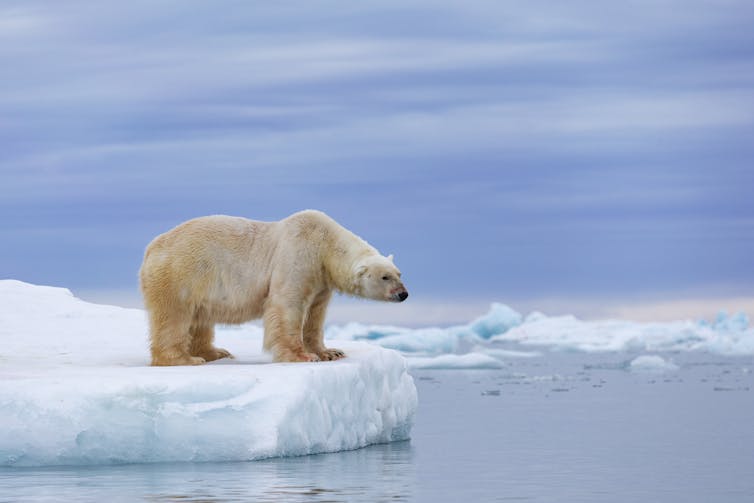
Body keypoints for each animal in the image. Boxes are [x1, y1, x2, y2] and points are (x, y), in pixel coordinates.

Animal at [139, 210, 408, 366]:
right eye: (385, 277)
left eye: (399, 274)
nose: (403, 294)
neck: (325, 243)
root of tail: (151, 247)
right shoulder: (298, 255)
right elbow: (288, 305)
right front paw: (302, 356)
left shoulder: (321, 280)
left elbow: (315, 315)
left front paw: (330, 352)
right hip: (181, 273)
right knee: (175, 316)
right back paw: (185, 359)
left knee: (200, 318)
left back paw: (215, 352)